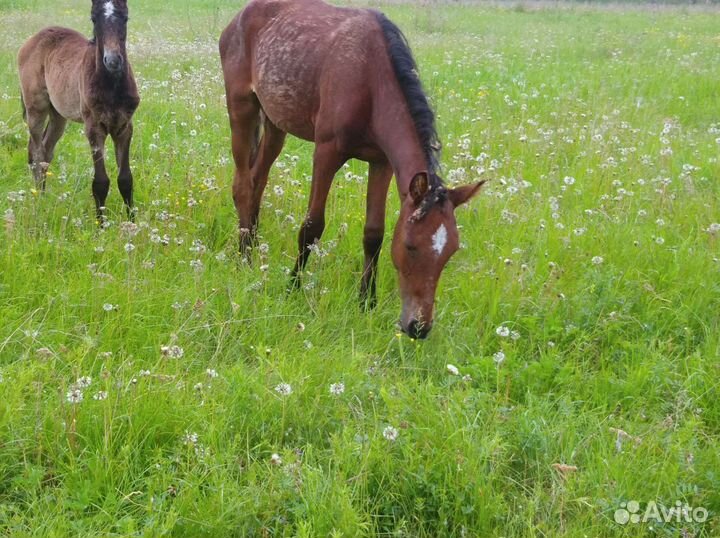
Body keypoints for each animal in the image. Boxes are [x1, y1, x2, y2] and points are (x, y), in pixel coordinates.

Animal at [18, 0, 140, 221]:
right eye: (94, 19)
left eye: (125, 17)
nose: (113, 60)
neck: (111, 86)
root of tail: (34, 38)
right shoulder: (94, 128)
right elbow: (100, 182)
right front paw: (101, 225)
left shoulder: (124, 127)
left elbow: (126, 179)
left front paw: (132, 223)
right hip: (36, 108)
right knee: (36, 152)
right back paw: (38, 200)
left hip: (58, 115)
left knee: (46, 151)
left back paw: (44, 197)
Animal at [219, 0, 485, 339]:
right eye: (411, 246)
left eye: (450, 251)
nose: (418, 327)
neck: (371, 81)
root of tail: (239, 17)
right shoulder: (326, 151)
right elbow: (312, 227)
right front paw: (293, 287)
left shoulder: (381, 162)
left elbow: (374, 233)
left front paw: (366, 301)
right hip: (241, 106)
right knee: (242, 184)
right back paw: (245, 258)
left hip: (276, 122)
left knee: (257, 179)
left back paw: (252, 242)